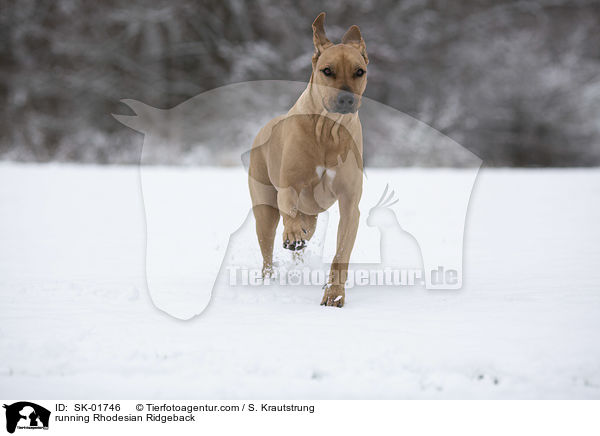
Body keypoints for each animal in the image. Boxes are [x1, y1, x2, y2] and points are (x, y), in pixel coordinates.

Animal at [247, 12, 368, 306]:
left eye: (359, 71)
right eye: (327, 70)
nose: (346, 99)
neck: (329, 130)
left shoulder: (350, 204)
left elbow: (341, 253)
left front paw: (334, 294)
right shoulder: (289, 186)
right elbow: (288, 207)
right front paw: (291, 234)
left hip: (311, 217)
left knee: (306, 233)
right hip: (264, 210)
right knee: (268, 249)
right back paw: (269, 278)